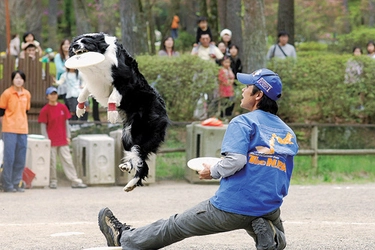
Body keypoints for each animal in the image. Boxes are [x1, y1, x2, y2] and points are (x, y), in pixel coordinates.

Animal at [70, 32, 170, 191]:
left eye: (85, 41)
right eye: (76, 41)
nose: (74, 46)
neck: (102, 51)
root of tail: (164, 113)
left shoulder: (124, 80)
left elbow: (113, 96)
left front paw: (111, 113)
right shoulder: (94, 82)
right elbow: (83, 92)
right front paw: (80, 108)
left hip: (140, 131)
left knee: (140, 158)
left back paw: (130, 181)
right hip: (127, 135)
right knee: (139, 158)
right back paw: (128, 175)